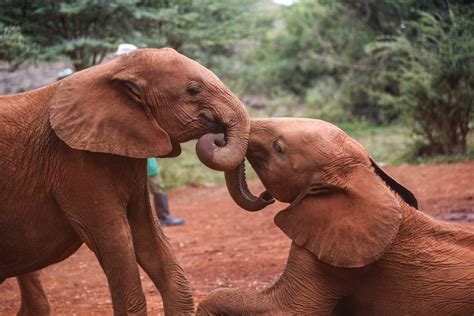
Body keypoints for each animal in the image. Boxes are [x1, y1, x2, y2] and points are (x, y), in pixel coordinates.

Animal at [0, 48, 252, 314]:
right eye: (193, 90)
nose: (218, 137)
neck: (116, 68)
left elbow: (147, 236)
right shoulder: (75, 163)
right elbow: (116, 240)